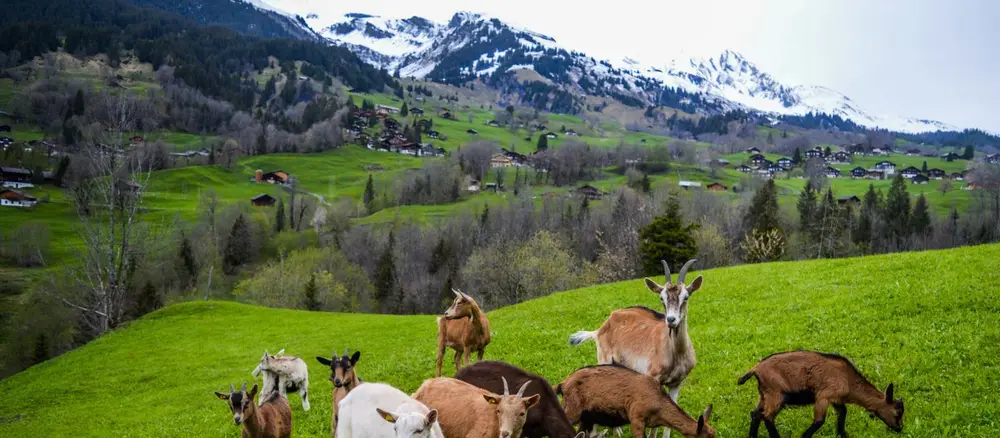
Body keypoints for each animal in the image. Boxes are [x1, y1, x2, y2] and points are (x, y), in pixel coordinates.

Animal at [570, 259, 703, 438]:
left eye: (686, 297)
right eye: (662, 298)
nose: (671, 320)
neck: (675, 355)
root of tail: (600, 329)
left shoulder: (677, 383)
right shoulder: (653, 378)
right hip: (604, 359)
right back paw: (615, 430)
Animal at [738, 350, 904, 438]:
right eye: (897, 413)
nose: (899, 428)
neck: (848, 379)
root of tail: (756, 369)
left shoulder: (837, 399)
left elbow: (843, 414)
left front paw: (842, 435)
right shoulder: (823, 396)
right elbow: (819, 421)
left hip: (764, 393)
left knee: (755, 414)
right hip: (777, 394)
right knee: (767, 416)